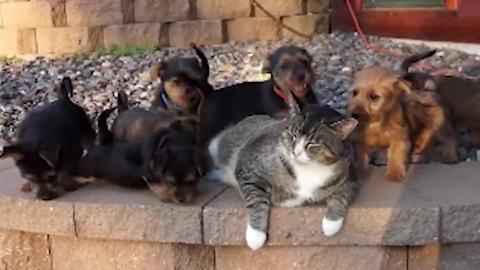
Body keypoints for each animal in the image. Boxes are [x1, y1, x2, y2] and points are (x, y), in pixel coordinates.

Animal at [61, 106, 208, 204]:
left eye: (190, 181)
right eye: (171, 183)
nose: (181, 200)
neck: (176, 142)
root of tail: (100, 144)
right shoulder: (148, 174)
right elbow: (157, 185)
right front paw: (165, 196)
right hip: (87, 168)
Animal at [208, 93, 358, 251]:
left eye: (312, 144)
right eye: (292, 135)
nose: (295, 152)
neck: (309, 168)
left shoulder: (350, 176)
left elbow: (342, 197)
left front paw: (331, 225)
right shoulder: (248, 167)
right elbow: (256, 199)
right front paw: (255, 236)